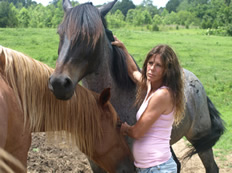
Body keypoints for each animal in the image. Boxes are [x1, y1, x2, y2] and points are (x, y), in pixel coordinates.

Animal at [48, 0, 225, 172]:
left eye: (92, 36)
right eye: (59, 33)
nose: (59, 83)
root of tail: (195, 79)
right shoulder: (96, 163)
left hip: (200, 140)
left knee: (211, 167)